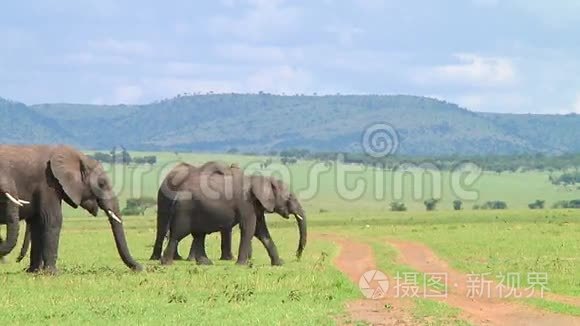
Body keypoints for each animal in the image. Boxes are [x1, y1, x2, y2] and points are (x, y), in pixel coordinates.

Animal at [0, 145, 143, 272]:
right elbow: (52, 220)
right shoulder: (47, 183)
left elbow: (38, 223)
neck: (78, 156)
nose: (141, 268)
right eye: (101, 184)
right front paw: (52, 273)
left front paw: (34, 272)